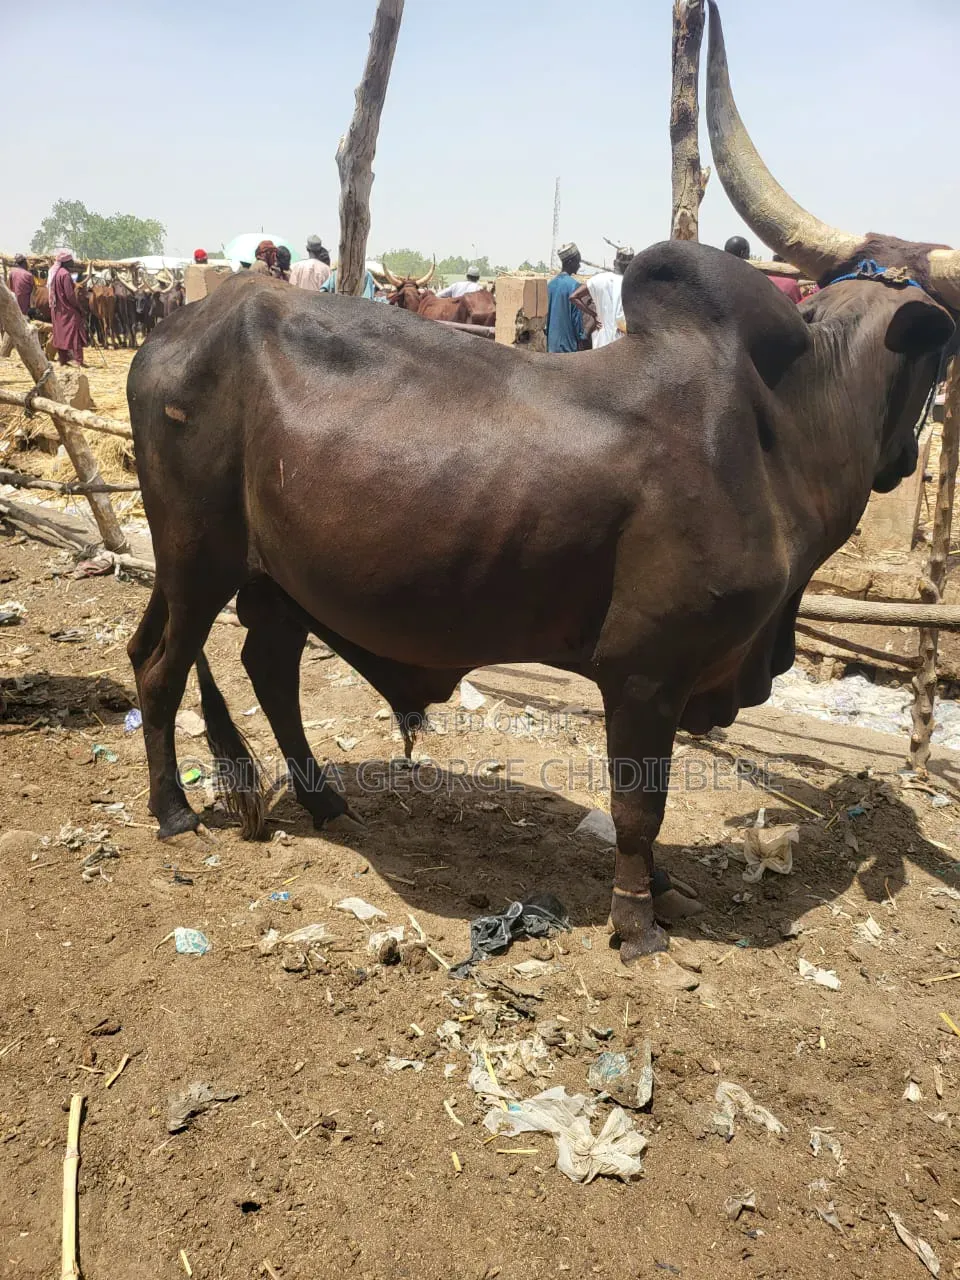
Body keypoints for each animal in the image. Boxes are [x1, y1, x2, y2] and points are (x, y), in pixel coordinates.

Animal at [126, 10, 957, 968]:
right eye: (944, 348)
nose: (901, 461)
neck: (774, 430)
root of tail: (174, 331)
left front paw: (664, 893)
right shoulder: (645, 670)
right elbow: (640, 805)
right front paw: (638, 922)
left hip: (275, 577)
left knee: (264, 667)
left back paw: (323, 798)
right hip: (197, 556)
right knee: (160, 669)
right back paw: (174, 811)